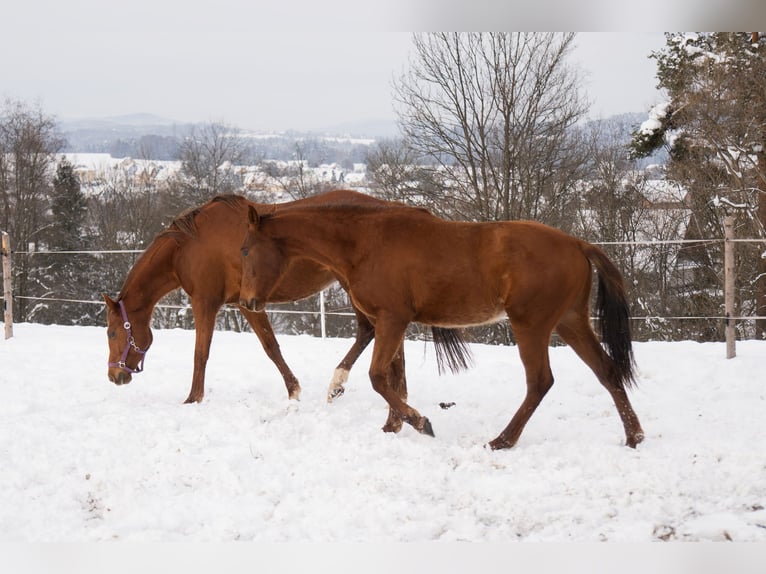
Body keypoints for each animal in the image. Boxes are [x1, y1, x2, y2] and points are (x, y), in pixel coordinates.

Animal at [238, 201, 645, 449]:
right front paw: (392, 426)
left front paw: (420, 423)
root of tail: (578, 244)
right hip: (571, 322)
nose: (247, 302)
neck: (364, 244)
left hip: (532, 325)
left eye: (244, 250)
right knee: (608, 372)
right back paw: (634, 436)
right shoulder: (390, 322)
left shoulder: (391, 319)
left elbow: (378, 377)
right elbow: (393, 378)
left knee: (540, 382)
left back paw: (502, 441)